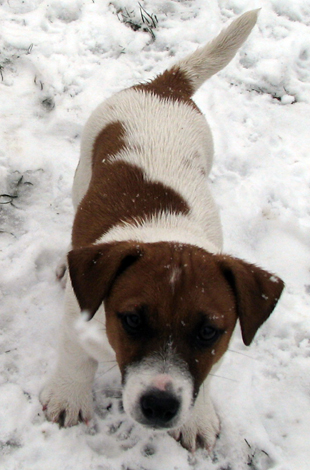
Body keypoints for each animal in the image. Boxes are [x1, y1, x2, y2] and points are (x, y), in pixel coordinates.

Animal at [40, 10, 284, 452]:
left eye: (208, 331)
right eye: (133, 320)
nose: (159, 405)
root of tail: (164, 85)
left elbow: (208, 375)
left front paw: (198, 416)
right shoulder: (74, 321)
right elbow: (74, 356)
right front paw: (69, 397)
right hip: (82, 172)